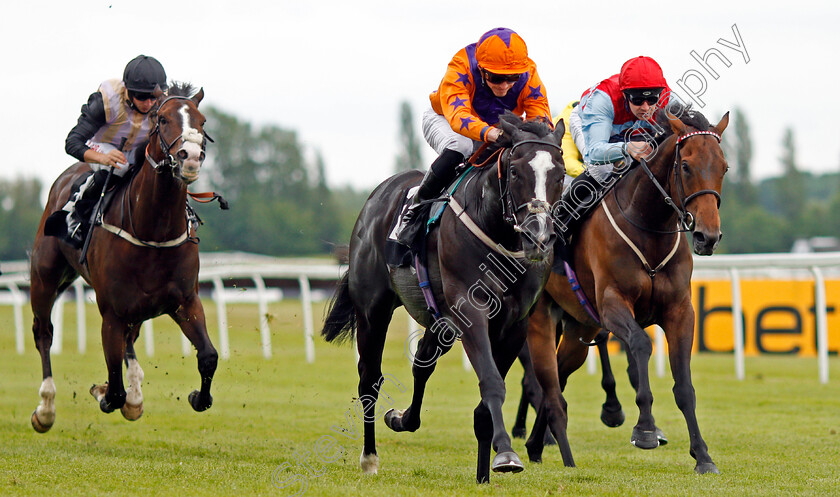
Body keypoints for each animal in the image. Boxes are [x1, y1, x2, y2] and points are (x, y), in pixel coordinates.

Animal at [30, 81, 217, 430]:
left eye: (202, 121)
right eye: (162, 119)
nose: (190, 157)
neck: (153, 230)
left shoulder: (185, 301)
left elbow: (208, 356)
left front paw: (198, 397)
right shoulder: (112, 313)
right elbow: (114, 388)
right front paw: (104, 393)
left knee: (131, 339)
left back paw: (135, 394)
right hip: (45, 277)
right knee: (44, 333)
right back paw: (46, 408)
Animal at [322, 114, 564, 482]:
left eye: (560, 175)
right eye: (515, 172)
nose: (539, 236)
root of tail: (377, 196)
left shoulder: (514, 324)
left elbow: (483, 398)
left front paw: (484, 473)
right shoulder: (472, 309)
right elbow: (491, 382)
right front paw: (506, 455)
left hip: (442, 321)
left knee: (423, 361)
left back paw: (402, 418)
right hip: (373, 309)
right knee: (370, 380)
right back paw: (369, 458)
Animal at [524, 104, 728, 472]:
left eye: (724, 167)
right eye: (686, 166)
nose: (708, 237)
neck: (649, 227)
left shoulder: (680, 311)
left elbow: (684, 385)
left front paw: (703, 455)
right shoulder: (612, 305)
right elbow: (641, 345)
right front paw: (645, 429)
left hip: (580, 327)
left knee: (560, 372)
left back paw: (536, 442)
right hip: (543, 316)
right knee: (548, 376)